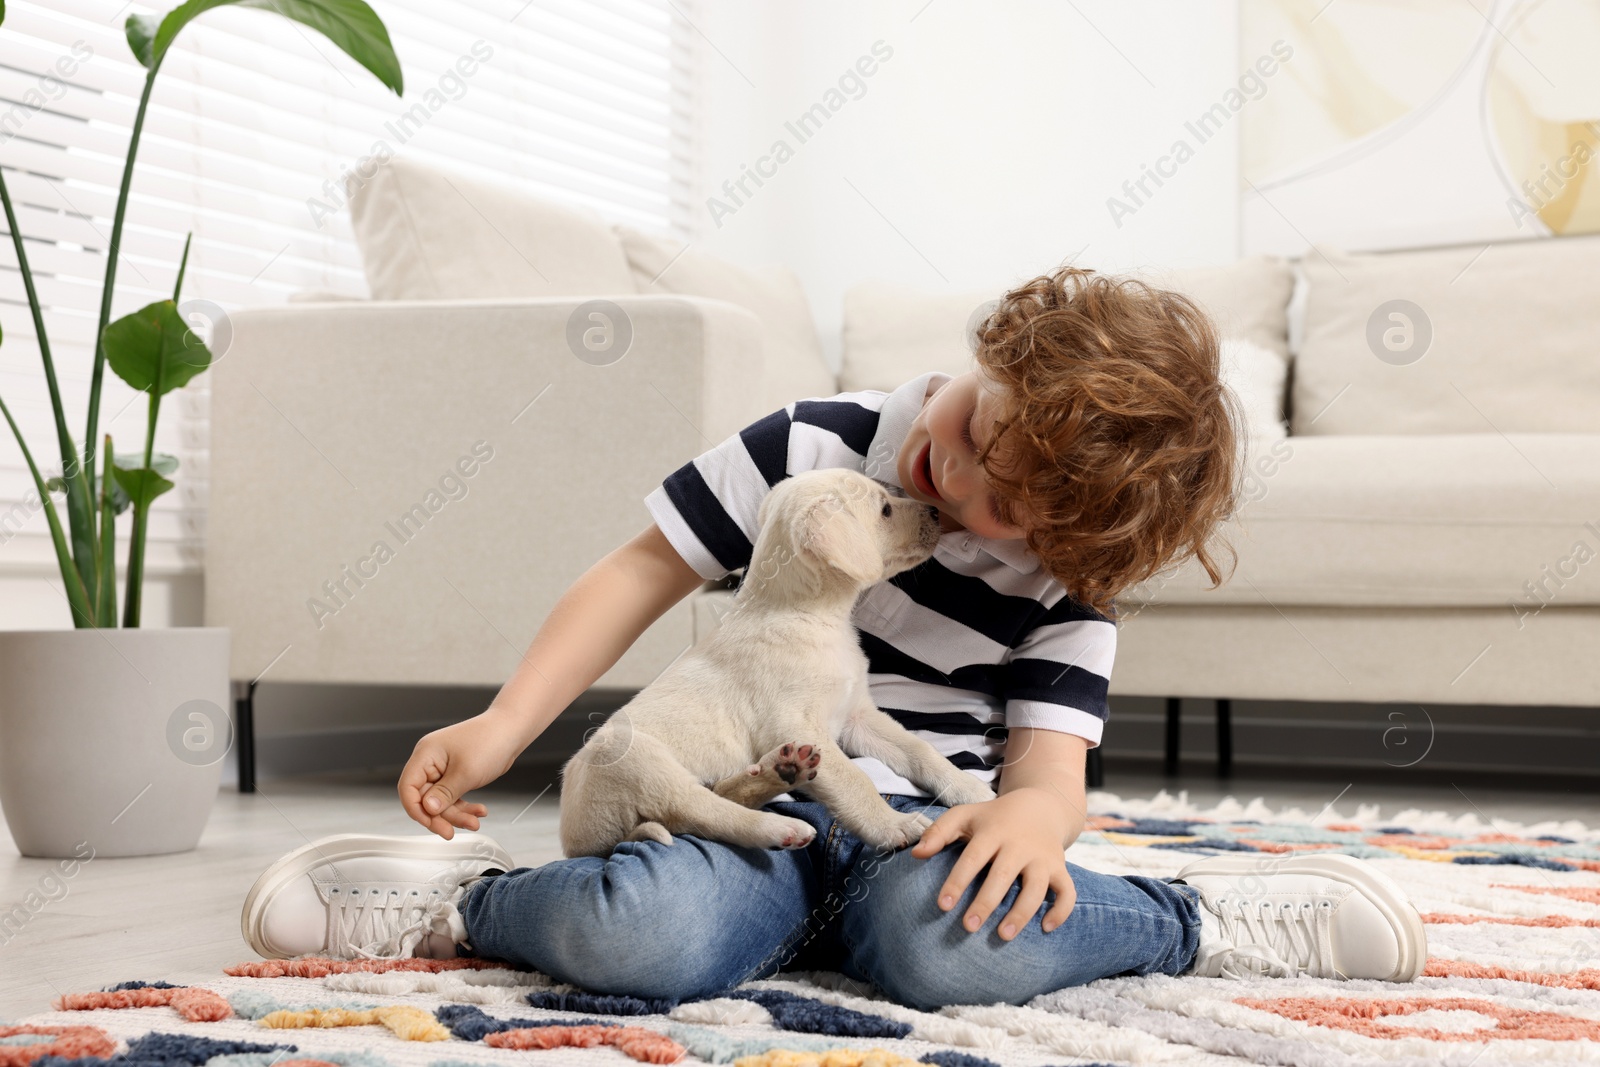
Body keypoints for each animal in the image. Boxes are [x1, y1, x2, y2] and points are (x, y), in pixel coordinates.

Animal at [556, 470, 992, 857]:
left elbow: (920, 750)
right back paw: (778, 826)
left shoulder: (858, 717)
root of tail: (579, 842)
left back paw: (781, 771)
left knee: (717, 794)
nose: (936, 512)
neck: (811, 615)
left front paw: (969, 788)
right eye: (885, 509)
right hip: (630, 757)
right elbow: (855, 780)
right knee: (698, 811)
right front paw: (892, 826)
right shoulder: (796, 723)